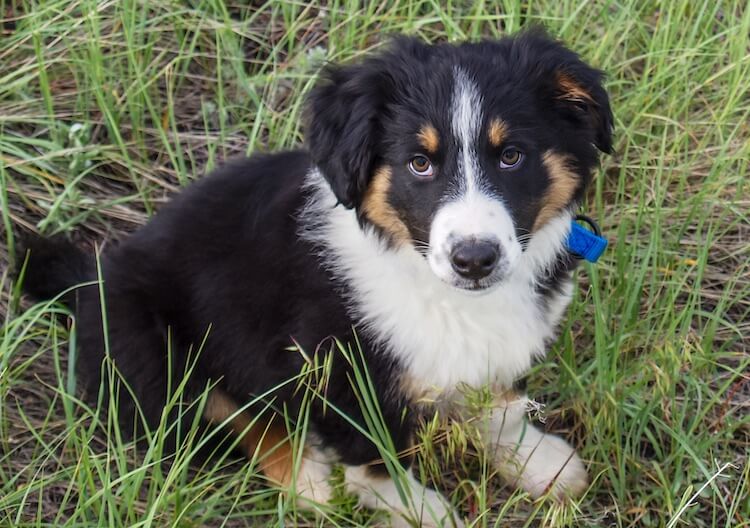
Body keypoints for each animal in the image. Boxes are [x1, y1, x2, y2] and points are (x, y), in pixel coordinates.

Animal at [17, 29, 612, 528]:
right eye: (419, 164)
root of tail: (92, 278)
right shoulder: (334, 368)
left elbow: (498, 401)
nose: (474, 259)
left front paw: (537, 462)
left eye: (512, 156)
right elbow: (374, 455)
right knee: (232, 417)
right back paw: (308, 480)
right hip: (153, 356)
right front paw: (416, 510)